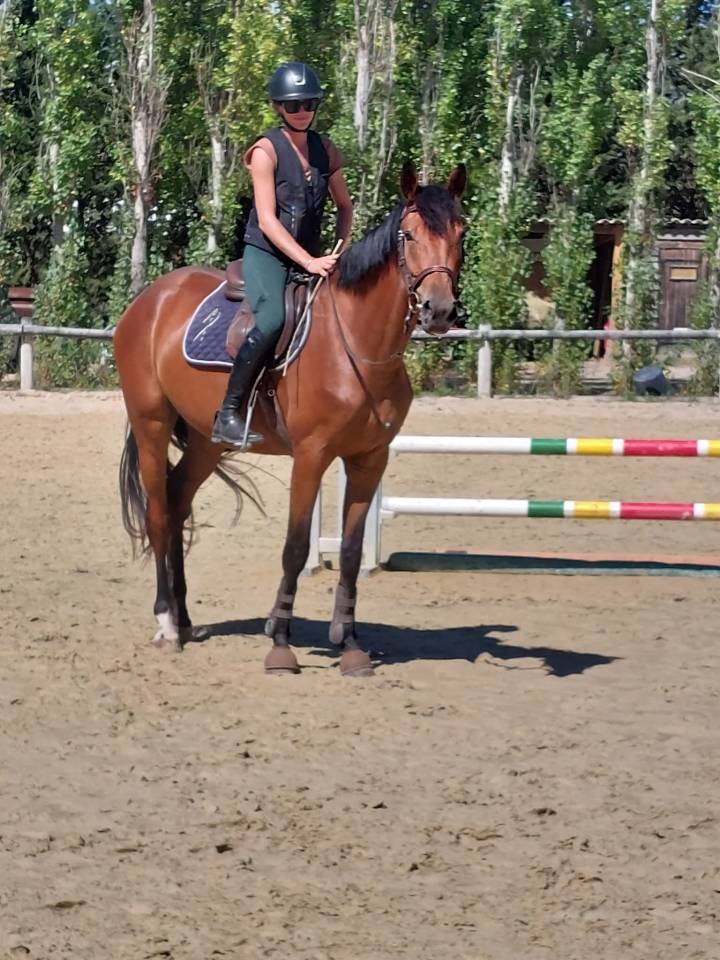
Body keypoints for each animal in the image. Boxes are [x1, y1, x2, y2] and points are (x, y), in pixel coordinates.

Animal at [115, 161, 466, 677]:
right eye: (409, 235)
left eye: (460, 233)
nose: (437, 310)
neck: (355, 343)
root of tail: (150, 299)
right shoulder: (311, 456)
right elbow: (296, 547)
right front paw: (280, 643)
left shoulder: (369, 460)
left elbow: (350, 552)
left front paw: (350, 645)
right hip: (151, 423)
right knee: (159, 510)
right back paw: (165, 625)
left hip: (206, 440)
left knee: (178, 502)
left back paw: (184, 619)